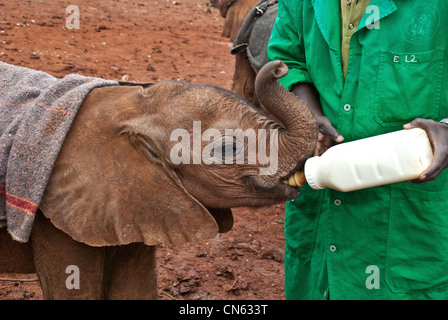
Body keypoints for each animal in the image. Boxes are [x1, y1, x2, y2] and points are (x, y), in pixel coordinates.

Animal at [0, 60, 316, 300]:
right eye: (227, 149)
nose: (281, 67)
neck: (133, 108)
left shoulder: (134, 202)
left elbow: (134, 290)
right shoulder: (55, 215)